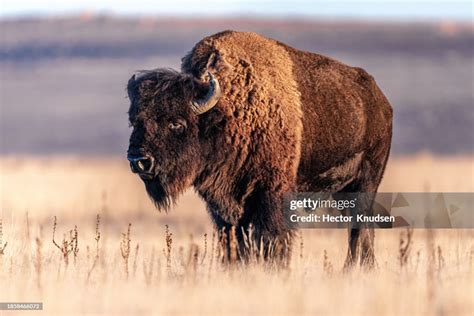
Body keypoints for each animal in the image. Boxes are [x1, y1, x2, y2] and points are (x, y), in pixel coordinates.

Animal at [127, 30, 392, 266]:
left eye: (177, 123)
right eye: (134, 121)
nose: (139, 160)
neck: (227, 114)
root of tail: (380, 100)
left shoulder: (271, 193)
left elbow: (270, 238)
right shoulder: (224, 206)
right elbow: (233, 241)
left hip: (367, 181)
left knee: (359, 228)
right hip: (343, 190)